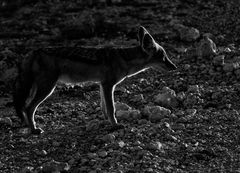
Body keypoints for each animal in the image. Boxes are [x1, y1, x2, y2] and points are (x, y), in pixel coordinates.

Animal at [12, 25, 176, 134]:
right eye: (163, 57)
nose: (174, 67)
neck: (124, 58)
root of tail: (33, 51)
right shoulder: (108, 85)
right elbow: (111, 108)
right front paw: (115, 125)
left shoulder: (102, 85)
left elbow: (104, 108)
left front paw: (105, 121)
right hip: (47, 89)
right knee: (28, 107)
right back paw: (34, 129)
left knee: (25, 107)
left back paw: (29, 127)